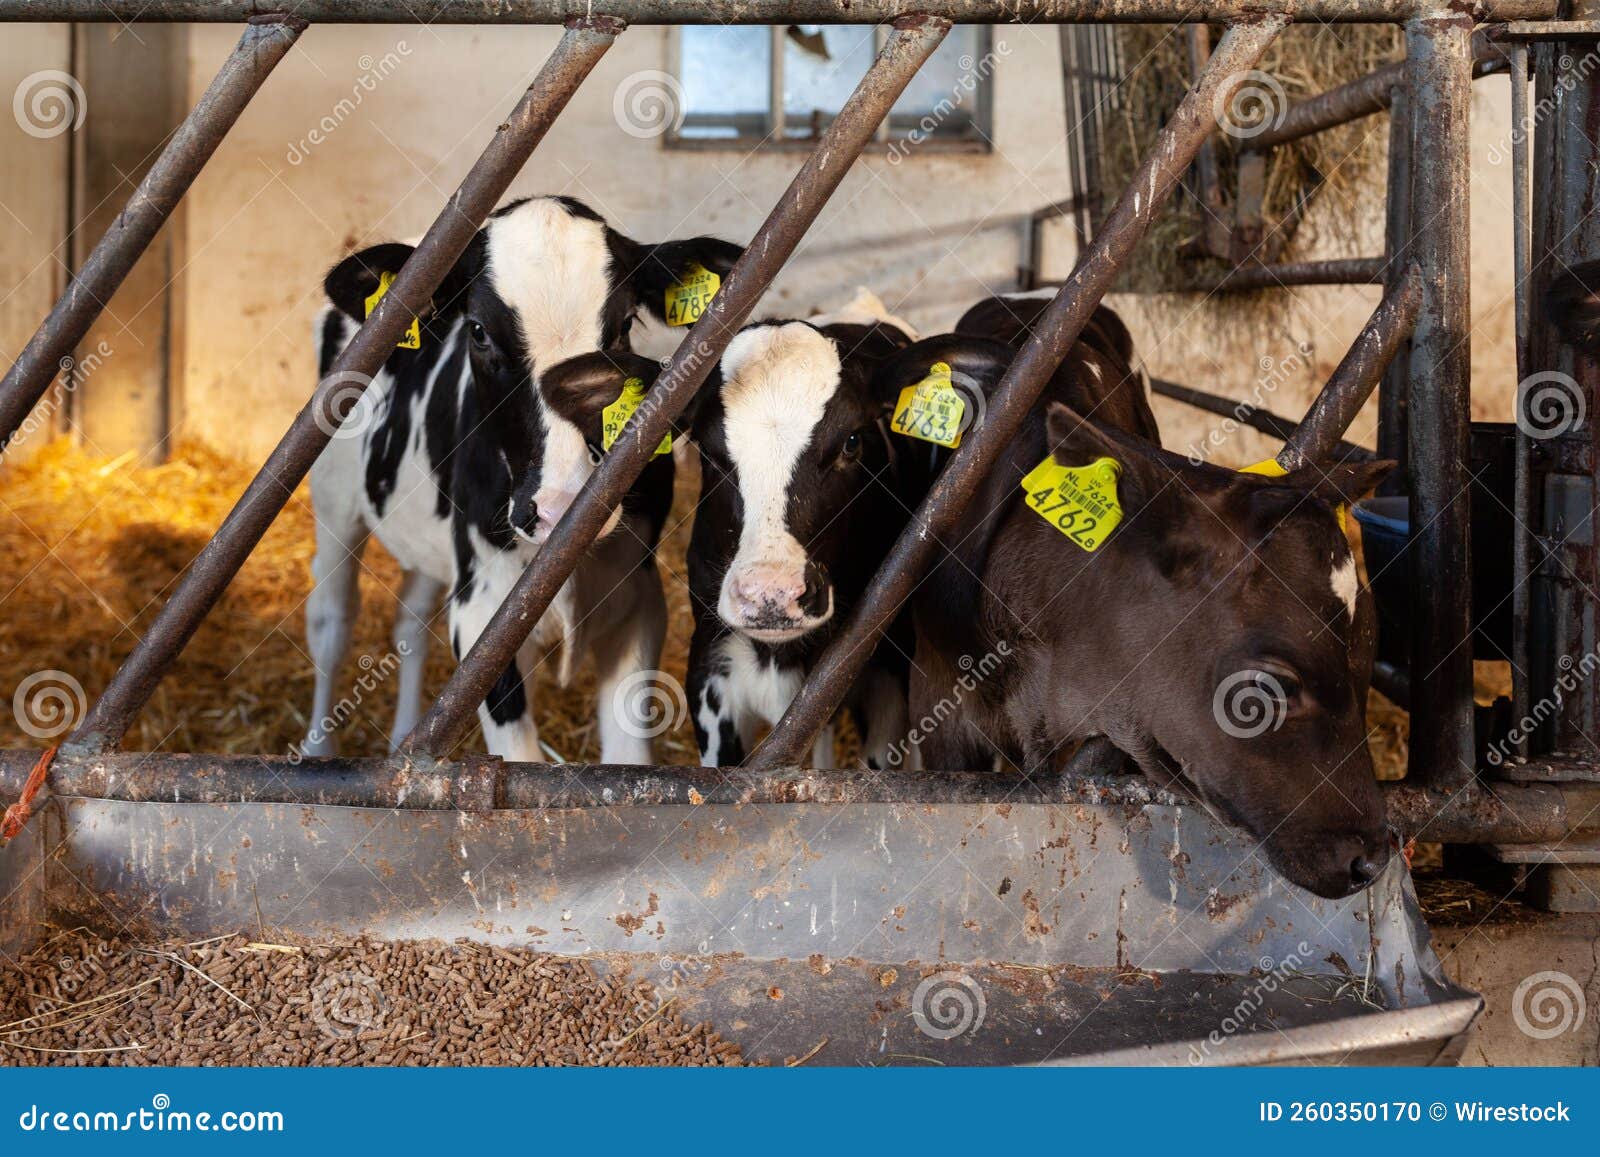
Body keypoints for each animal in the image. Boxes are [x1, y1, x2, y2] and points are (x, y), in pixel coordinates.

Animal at [302, 195, 741, 763]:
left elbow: (627, 759)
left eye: (623, 325)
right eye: (479, 331)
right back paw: (317, 751)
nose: (562, 506)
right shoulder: (481, 613)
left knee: (410, 620)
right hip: (333, 501)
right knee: (331, 621)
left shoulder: (638, 602)